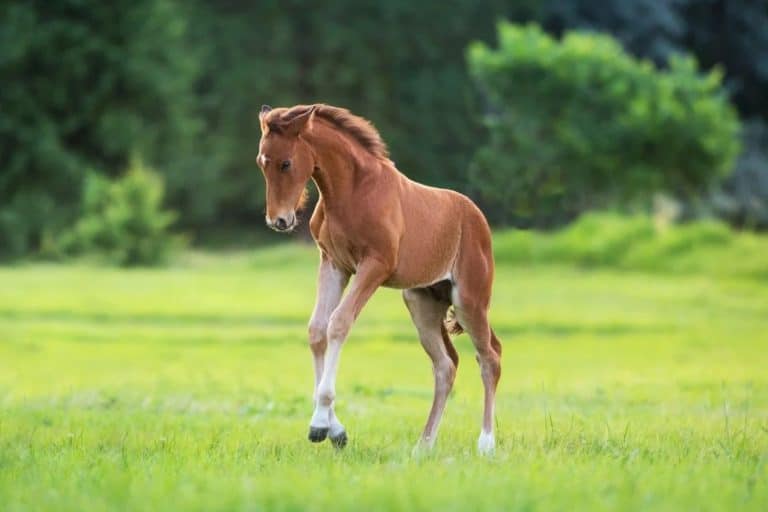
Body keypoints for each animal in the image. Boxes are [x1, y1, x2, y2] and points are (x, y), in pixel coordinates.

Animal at [256, 104, 502, 454]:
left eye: (286, 162)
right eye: (261, 162)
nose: (278, 220)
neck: (351, 191)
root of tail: (479, 219)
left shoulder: (374, 265)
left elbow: (338, 323)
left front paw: (320, 424)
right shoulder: (334, 264)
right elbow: (317, 329)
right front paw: (334, 430)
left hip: (470, 300)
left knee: (489, 357)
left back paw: (486, 443)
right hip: (421, 302)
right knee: (446, 364)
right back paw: (423, 446)